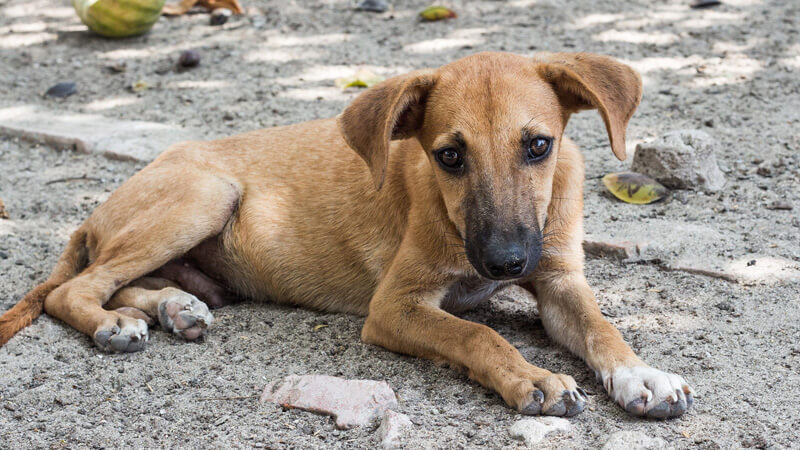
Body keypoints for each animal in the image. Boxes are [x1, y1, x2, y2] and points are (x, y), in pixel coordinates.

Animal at [0, 51, 692, 418]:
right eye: (449, 156)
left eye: (539, 146)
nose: (505, 263)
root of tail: (94, 213)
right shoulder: (395, 307)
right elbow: (477, 334)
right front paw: (535, 378)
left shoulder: (559, 281)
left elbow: (603, 328)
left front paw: (642, 375)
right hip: (204, 195)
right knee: (73, 290)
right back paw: (115, 325)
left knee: (126, 282)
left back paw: (174, 306)